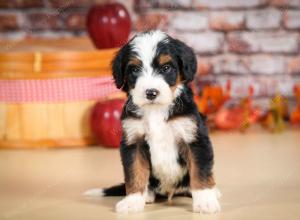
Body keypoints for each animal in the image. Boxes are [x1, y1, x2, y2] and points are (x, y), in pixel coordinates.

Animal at [84, 30, 220, 213]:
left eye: (166, 68)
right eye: (134, 69)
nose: (151, 92)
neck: (156, 110)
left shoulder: (194, 138)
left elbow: (200, 171)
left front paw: (205, 201)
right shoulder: (133, 141)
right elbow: (135, 171)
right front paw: (132, 201)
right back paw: (147, 195)